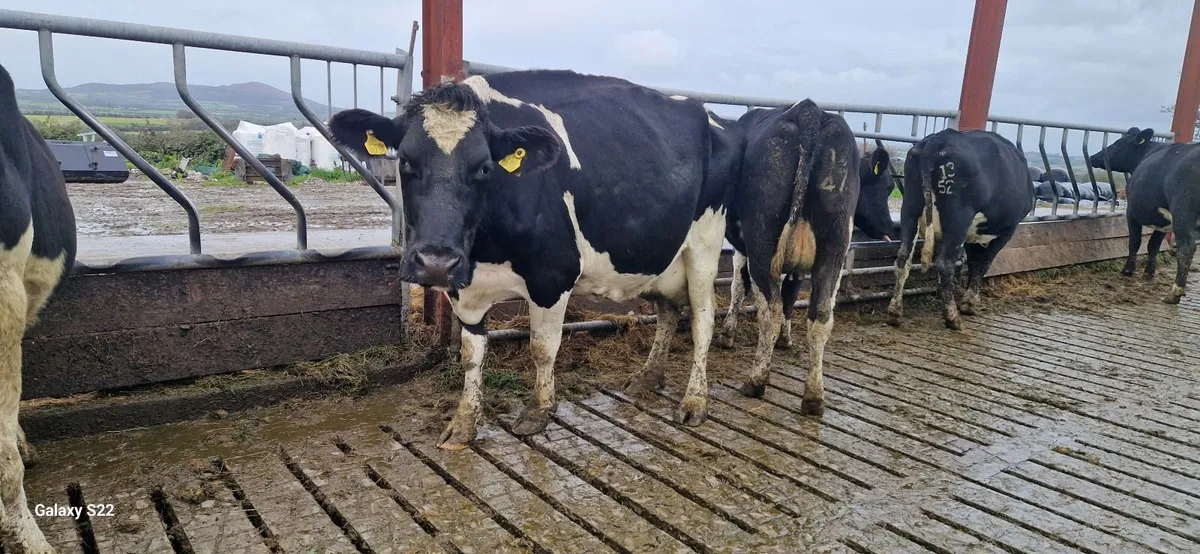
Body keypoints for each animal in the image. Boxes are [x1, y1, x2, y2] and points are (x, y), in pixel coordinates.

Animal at [327, 70, 740, 450]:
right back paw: (647, 378)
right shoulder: (464, 288)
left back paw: (694, 401)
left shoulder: (552, 276)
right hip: (660, 257)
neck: (485, 252)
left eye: (484, 167)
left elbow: (542, 348)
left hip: (705, 246)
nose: (435, 262)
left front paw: (539, 411)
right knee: (669, 312)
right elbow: (471, 354)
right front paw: (464, 423)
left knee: (703, 318)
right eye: (406, 162)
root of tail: (705, 111)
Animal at [709, 101, 862, 415]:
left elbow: (737, 286)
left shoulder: (743, 248)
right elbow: (792, 293)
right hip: (835, 245)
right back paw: (814, 398)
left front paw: (727, 335)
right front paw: (785, 339)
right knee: (821, 314)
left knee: (771, 308)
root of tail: (809, 110)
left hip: (761, 241)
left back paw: (755, 381)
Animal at [716, 144, 895, 351]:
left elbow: (789, 294)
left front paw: (784, 337)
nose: (890, 226)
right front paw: (727, 333)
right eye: (888, 186)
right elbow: (740, 285)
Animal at [887, 128, 1033, 330]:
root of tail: (940, 138)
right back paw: (952, 318)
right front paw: (969, 304)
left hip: (910, 209)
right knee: (944, 264)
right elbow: (982, 263)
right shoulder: (1006, 230)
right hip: (959, 217)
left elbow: (973, 263)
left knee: (903, 259)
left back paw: (895, 313)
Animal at [1089, 127, 1199, 304]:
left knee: (1186, 248)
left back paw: (1174, 293)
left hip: (1183, 213)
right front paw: (1149, 272)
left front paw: (1128, 270)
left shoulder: (1132, 214)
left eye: (1117, 144)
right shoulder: (1164, 222)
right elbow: (1153, 245)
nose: (1093, 157)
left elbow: (1135, 242)